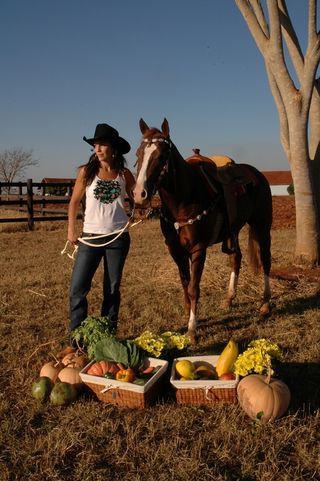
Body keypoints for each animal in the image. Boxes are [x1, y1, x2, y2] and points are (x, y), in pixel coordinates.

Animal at [133, 118, 272, 342]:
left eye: (161, 155)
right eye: (138, 153)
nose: (139, 194)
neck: (184, 200)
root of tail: (257, 174)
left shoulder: (198, 249)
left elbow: (193, 288)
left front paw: (192, 329)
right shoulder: (176, 250)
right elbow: (185, 283)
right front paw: (188, 316)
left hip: (262, 225)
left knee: (266, 260)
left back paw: (266, 303)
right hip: (234, 231)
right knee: (236, 258)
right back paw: (229, 299)